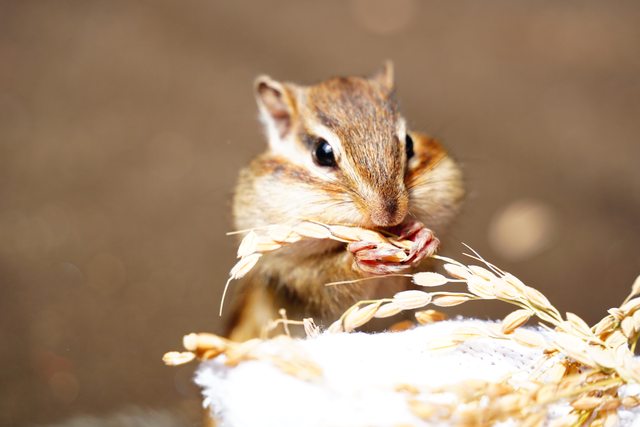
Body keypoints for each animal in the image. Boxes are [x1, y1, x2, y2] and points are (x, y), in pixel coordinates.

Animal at [226, 63, 464, 341]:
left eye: (409, 143)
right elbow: (323, 282)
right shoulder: (286, 273)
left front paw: (423, 236)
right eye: (322, 152)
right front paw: (360, 257)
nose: (389, 216)